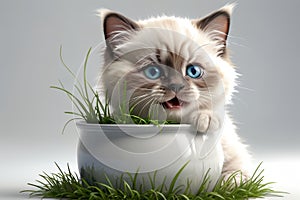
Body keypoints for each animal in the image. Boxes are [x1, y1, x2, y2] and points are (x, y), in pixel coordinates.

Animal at [98, 4, 251, 180]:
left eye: (193, 71)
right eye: (153, 72)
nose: (176, 86)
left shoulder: (238, 160)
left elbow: (234, 176)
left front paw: (206, 119)